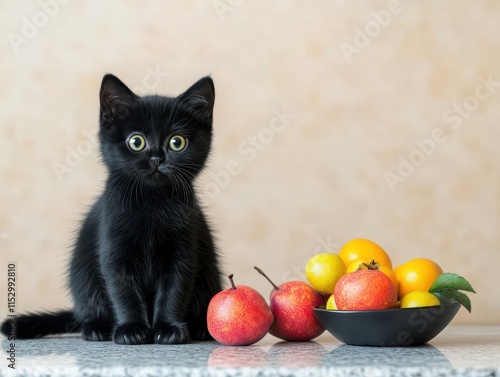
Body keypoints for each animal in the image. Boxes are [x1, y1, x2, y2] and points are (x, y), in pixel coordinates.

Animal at [0, 73, 223, 344]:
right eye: (136, 142)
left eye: (177, 142)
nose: (157, 158)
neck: (152, 202)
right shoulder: (114, 251)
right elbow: (123, 291)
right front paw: (131, 329)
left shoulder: (182, 252)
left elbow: (175, 289)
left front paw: (168, 328)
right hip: (83, 280)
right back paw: (96, 327)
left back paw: (201, 327)